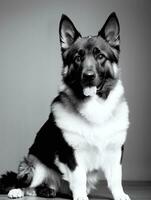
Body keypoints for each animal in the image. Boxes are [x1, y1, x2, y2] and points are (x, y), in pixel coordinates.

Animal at [0, 12, 130, 200]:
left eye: (100, 56)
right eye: (78, 58)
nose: (88, 76)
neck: (94, 107)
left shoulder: (115, 152)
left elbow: (116, 178)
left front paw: (120, 195)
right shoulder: (73, 155)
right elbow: (79, 178)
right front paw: (81, 196)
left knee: (41, 188)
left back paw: (48, 190)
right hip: (36, 164)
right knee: (25, 183)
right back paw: (18, 190)